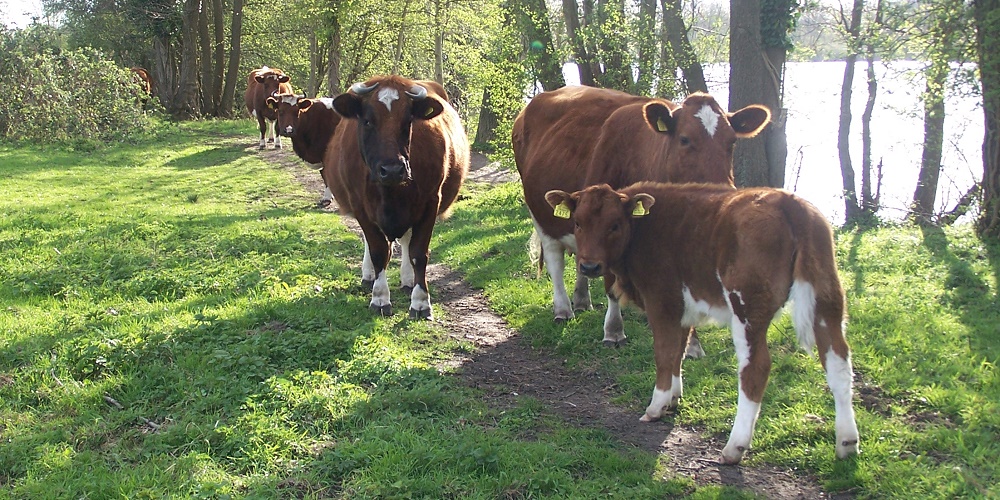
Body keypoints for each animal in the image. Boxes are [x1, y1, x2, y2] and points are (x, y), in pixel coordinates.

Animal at [324, 77, 472, 320]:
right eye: (367, 121)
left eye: (408, 121)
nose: (392, 170)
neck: (390, 193)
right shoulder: (360, 205)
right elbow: (378, 251)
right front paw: (380, 298)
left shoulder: (430, 202)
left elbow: (418, 253)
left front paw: (420, 302)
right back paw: (369, 277)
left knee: (406, 242)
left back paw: (408, 279)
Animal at [512, 86, 768, 354]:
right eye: (684, 139)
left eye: (732, 141)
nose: (721, 192)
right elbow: (612, 286)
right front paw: (614, 331)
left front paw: (692, 345)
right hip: (540, 212)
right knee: (555, 260)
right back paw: (563, 309)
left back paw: (581, 300)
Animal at [548, 183, 860, 464]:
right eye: (578, 222)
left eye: (614, 225)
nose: (589, 266)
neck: (643, 230)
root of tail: (789, 202)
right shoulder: (683, 308)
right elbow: (679, 350)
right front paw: (674, 398)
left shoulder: (662, 300)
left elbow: (664, 353)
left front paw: (657, 406)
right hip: (827, 297)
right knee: (838, 362)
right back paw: (847, 442)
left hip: (747, 307)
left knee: (755, 368)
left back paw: (734, 447)